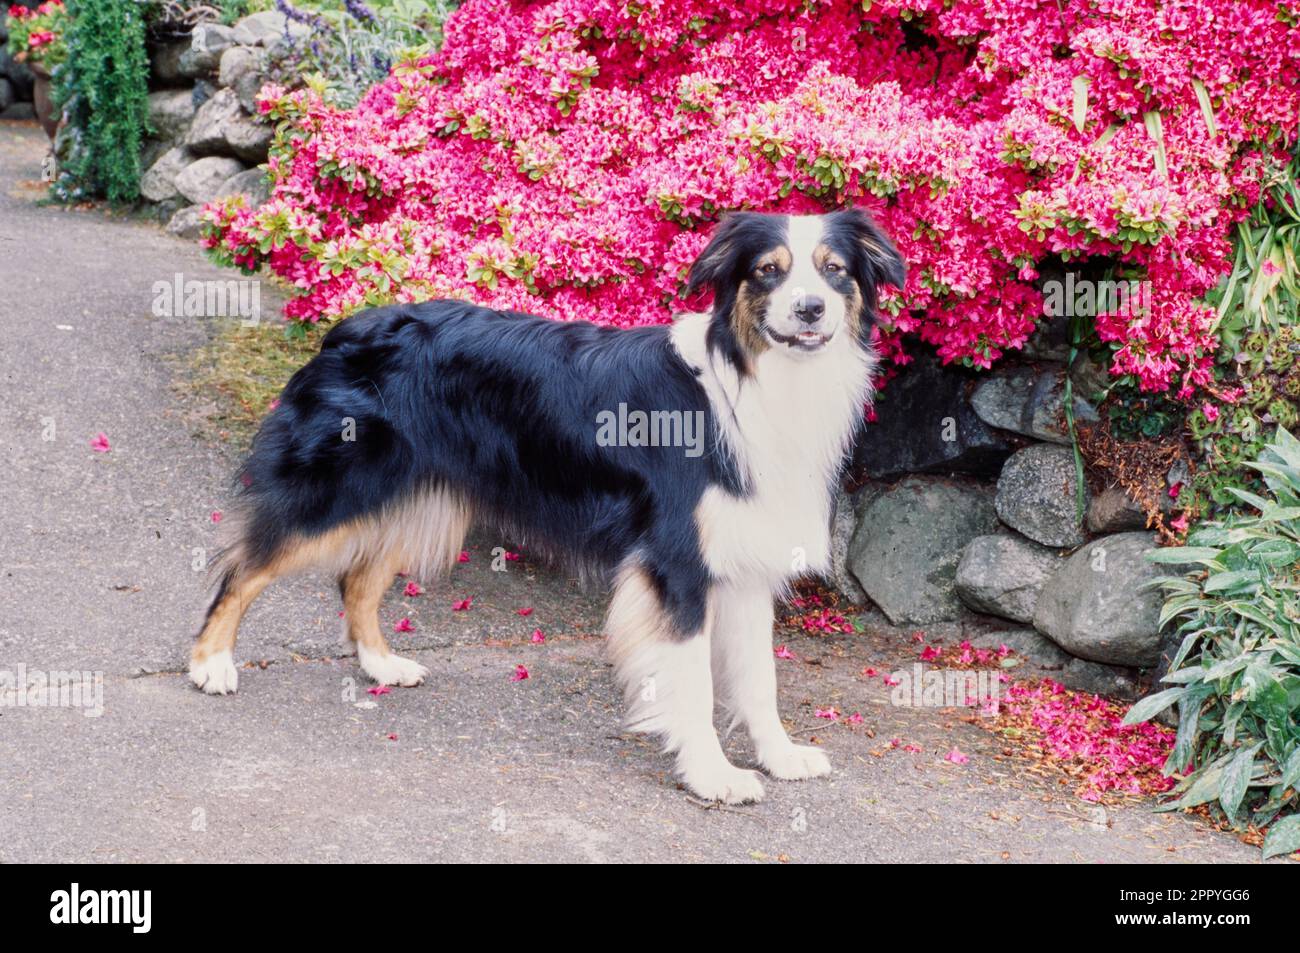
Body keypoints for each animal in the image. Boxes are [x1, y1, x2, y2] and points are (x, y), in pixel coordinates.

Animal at [189, 210, 904, 800]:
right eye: (767, 272)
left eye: (835, 271)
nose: (809, 309)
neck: (758, 378)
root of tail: (349, 325)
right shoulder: (677, 562)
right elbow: (694, 683)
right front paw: (712, 776)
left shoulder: (745, 560)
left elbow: (759, 679)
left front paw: (780, 758)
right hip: (339, 487)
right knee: (245, 565)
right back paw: (210, 664)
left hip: (419, 495)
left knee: (357, 580)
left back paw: (380, 664)